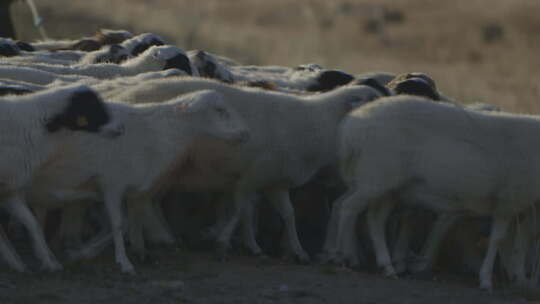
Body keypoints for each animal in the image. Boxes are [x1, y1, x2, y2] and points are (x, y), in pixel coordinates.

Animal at [27, 89, 249, 272]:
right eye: (219, 110)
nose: (245, 133)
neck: (159, 134)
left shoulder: (136, 191)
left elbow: (132, 222)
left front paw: (134, 251)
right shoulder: (112, 184)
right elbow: (118, 224)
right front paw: (123, 262)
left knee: (38, 217)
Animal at [106, 78, 384, 262]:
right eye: (372, 100)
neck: (319, 124)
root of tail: (124, 95)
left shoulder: (275, 181)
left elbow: (287, 215)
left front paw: (296, 250)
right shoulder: (250, 176)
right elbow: (241, 211)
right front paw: (222, 239)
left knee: (144, 202)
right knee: (143, 202)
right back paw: (160, 238)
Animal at [330, 95, 540, 290]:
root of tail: (349, 128)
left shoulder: (520, 206)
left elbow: (520, 242)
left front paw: (520, 279)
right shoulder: (509, 201)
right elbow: (499, 240)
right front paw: (487, 280)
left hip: (389, 187)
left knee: (373, 219)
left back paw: (386, 266)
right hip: (375, 178)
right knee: (348, 208)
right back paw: (343, 255)